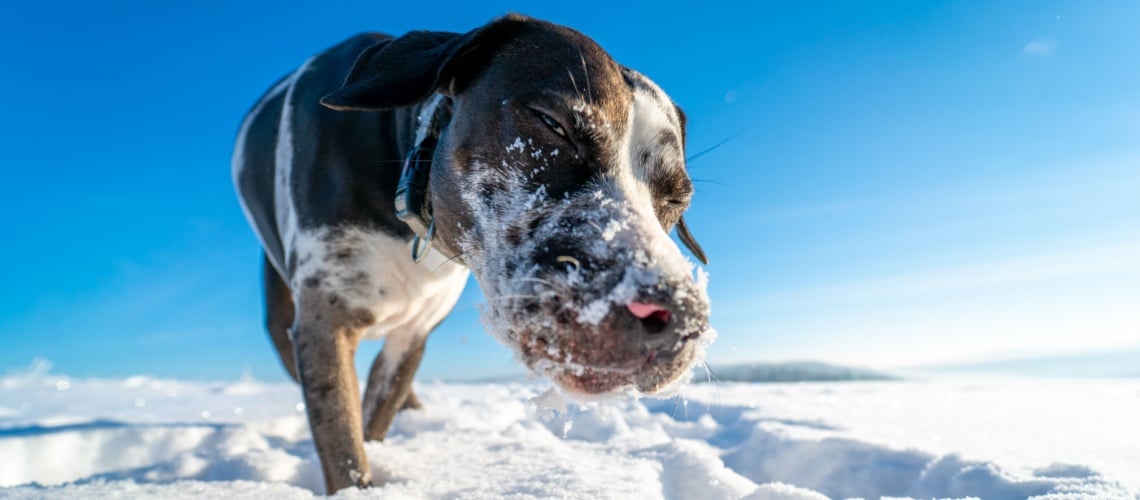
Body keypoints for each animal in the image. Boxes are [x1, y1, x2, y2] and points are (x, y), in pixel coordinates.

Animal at [231, 12, 711, 494]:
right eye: (552, 123)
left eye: (677, 198)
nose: (679, 317)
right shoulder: (325, 325)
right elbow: (345, 446)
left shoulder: (412, 336)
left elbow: (377, 410)